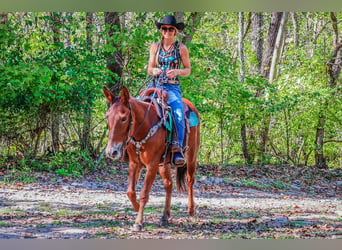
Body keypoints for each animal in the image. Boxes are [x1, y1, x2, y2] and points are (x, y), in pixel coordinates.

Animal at [104, 86, 200, 232]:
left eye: (123, 118)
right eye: (107, 117)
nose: (111, 151)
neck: (144, 128)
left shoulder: (152, 165)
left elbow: (144, 193)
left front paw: (138, 222)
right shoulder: (134, 163)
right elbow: (130, 192)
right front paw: (137, 208)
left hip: (191, 156)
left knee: (190, 180)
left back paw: (191, 210)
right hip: (164, 163)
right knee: (168, 184)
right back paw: (165, 216)